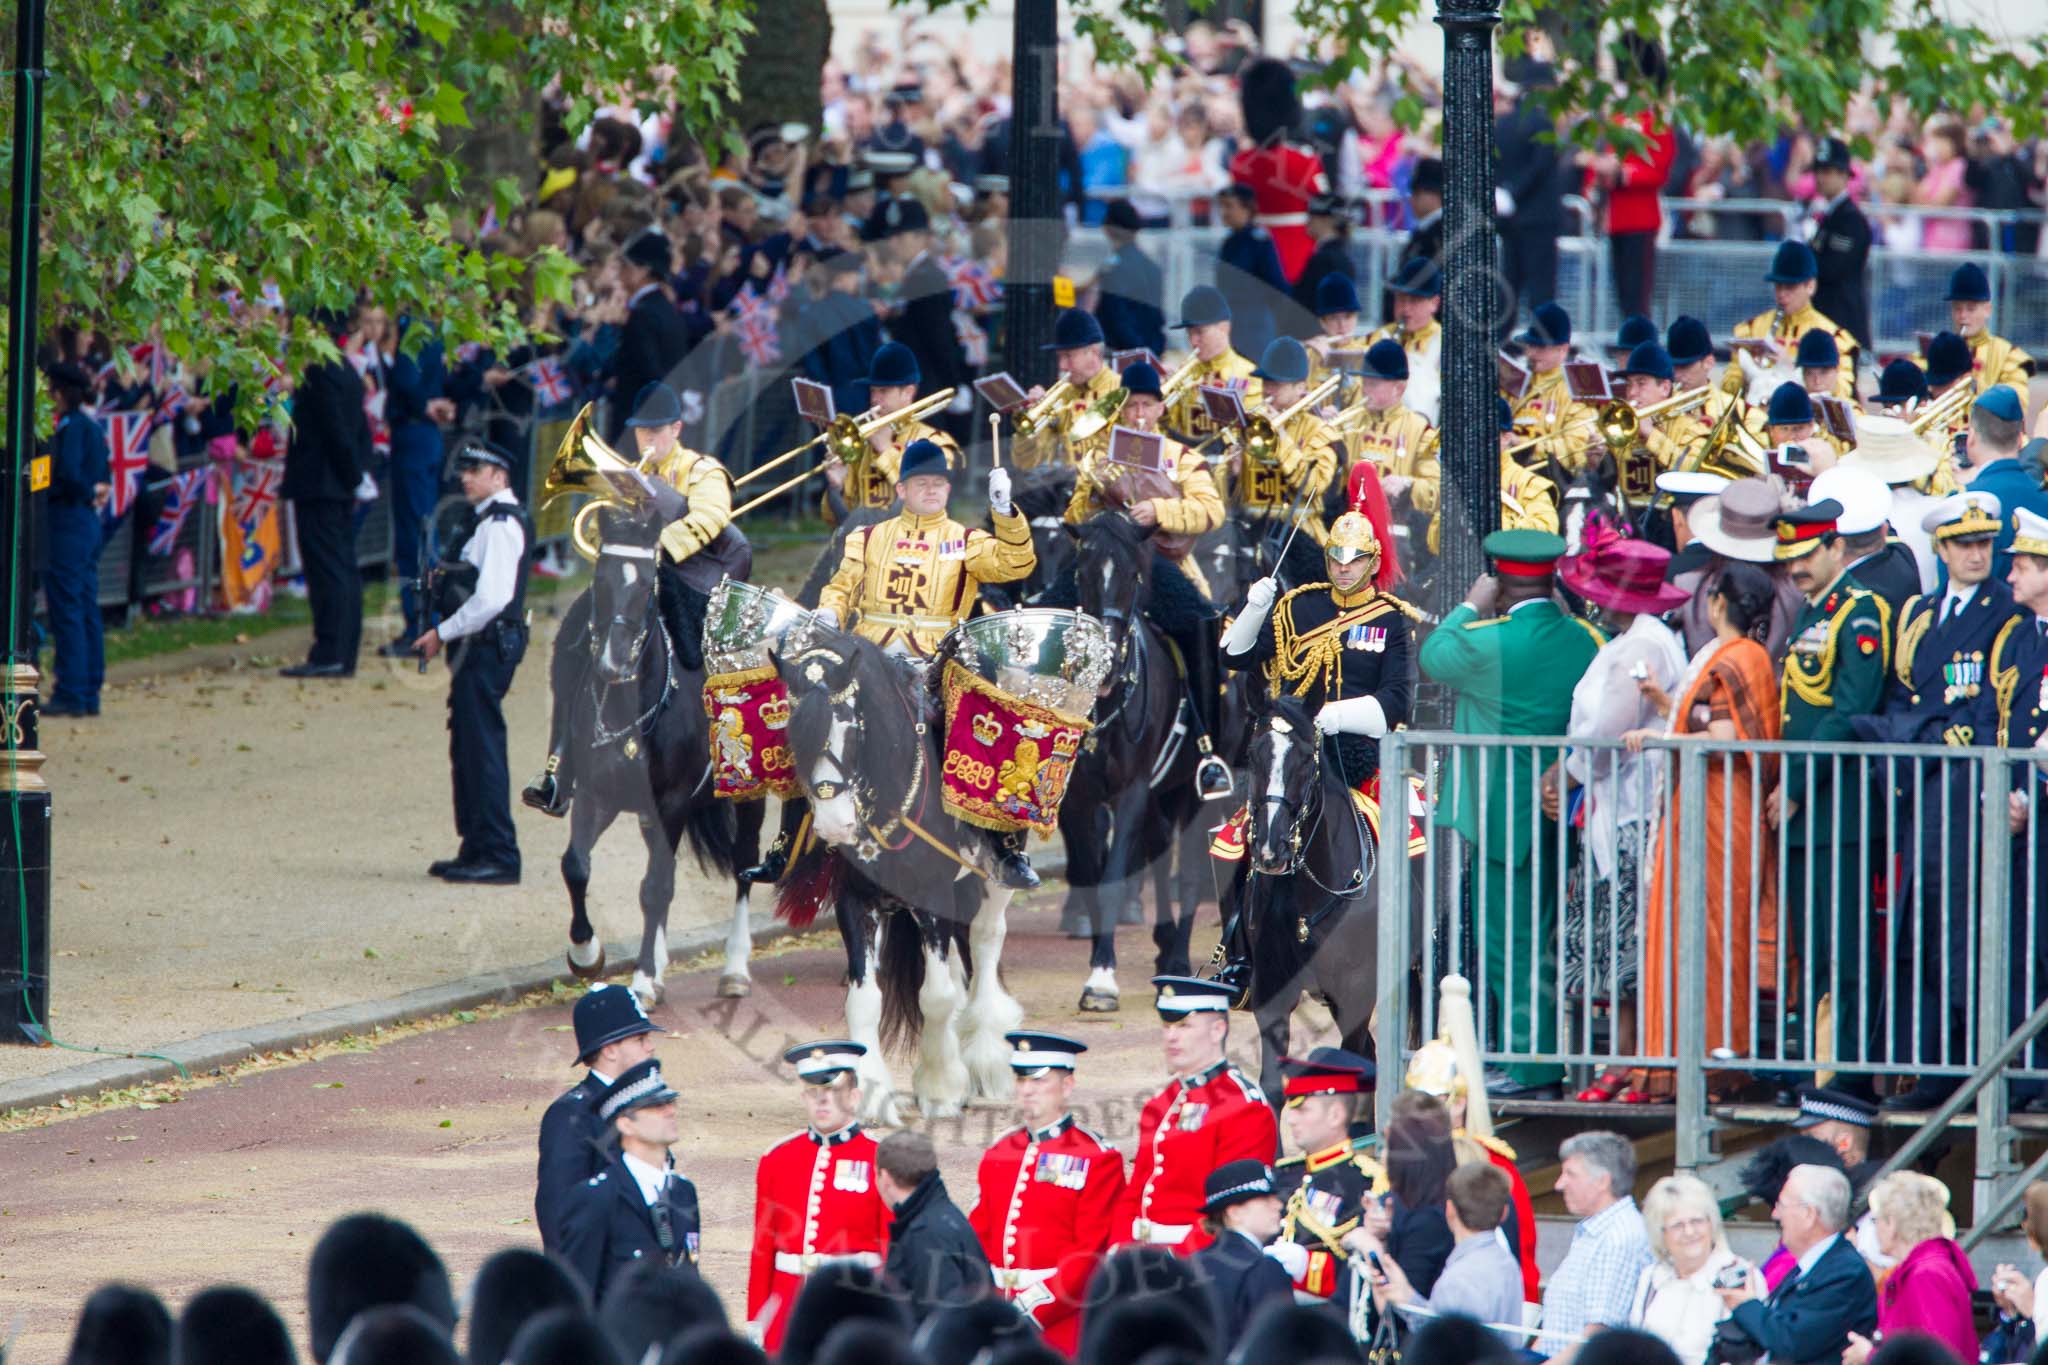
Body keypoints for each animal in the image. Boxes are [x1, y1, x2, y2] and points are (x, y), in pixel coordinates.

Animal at [557, 507, 765, 1010]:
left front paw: (643, 979)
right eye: (600, 578)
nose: (612, 664)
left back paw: (734, 969)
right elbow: (577, 866)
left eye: (647, 584)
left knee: (744, 865)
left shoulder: (671, 803)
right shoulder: (596, 796)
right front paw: (586, 953)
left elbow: (654, 888)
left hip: (750, 795)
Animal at [770, 626, 1024, 1129]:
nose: (834, 824)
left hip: (992, 880)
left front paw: (941, 1091)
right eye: (793, 730)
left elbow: (936, 998)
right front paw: (870, 1095)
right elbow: (864, 999)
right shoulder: (855, 903)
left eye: (851, 724)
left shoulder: (930, 898)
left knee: (985, 941)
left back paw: (983, 1061)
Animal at [1064, 511, 1220, 1015]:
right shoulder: (1077, 798)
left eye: (1134, 576)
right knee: (1158, 854)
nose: (1105, 666)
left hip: (1194, 792)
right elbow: (1090, 875)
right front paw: (1098, 959)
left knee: (1188, 871)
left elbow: (1113, 875)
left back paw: (1179, 959)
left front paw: (1101, 980)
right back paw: (1164, 946)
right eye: (1081, 573)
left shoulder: (1131, 791)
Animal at [1228, 699, 1392, 1105]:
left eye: (1305, 759)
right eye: (1253, 755)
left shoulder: (1357, 988)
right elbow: (1271, 1085)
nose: (1271, 850)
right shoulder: (1272, 986)